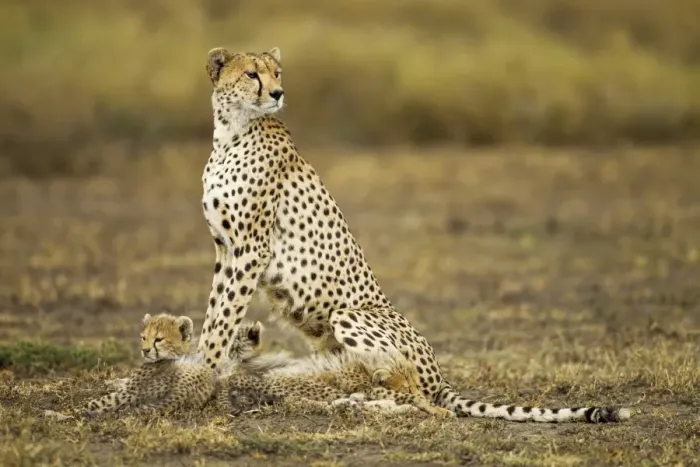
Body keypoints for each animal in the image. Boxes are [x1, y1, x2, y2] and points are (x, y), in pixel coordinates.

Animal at [197, 45, 630, 423]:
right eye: (252, 74)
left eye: (277, 73)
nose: (277, 93)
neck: (231, 132)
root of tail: (440, 375)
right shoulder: (226, 249)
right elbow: (214, 314)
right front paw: (201, 365)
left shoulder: (251, 250)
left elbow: (223, 319)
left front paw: (203, 373)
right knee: (374, 385)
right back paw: (343, 402)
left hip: (350, 315)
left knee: (423, 401)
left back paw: (358, 406)